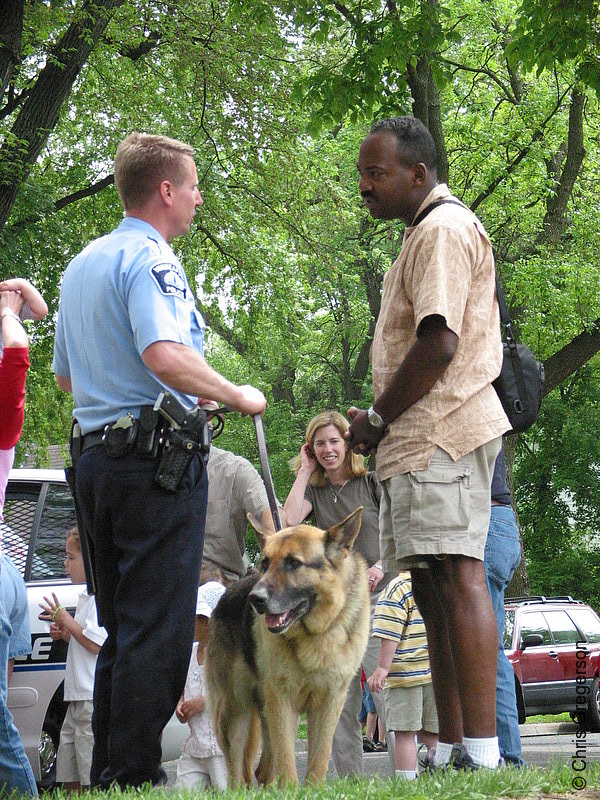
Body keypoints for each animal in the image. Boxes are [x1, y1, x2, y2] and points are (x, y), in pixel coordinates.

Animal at [206, 510, 370, 784]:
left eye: (293, 563)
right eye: (265, 563)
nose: (256, 599)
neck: (313, 636)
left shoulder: (329, 704)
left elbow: (319, 761)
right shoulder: (283, 702)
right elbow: (288, 766)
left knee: (262, 771)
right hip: (236, 713)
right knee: (237, 775)